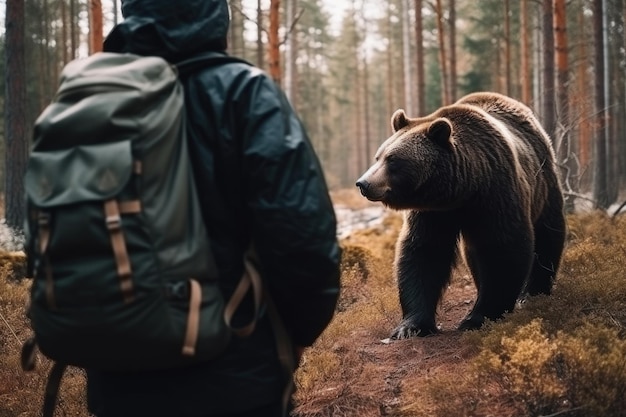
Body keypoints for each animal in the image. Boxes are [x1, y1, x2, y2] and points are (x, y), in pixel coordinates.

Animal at [356, 91, 564, 338]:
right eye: (378, 157)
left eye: (393, 160)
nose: (363, 183)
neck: (464, 189)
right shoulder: (433, 212)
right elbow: (424, 252)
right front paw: (410, 326)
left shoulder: (496, 192)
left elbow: (504, 249)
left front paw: (478, 317)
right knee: (473, 253)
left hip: (544, 183)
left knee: (548, 234)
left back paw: (533, 293)